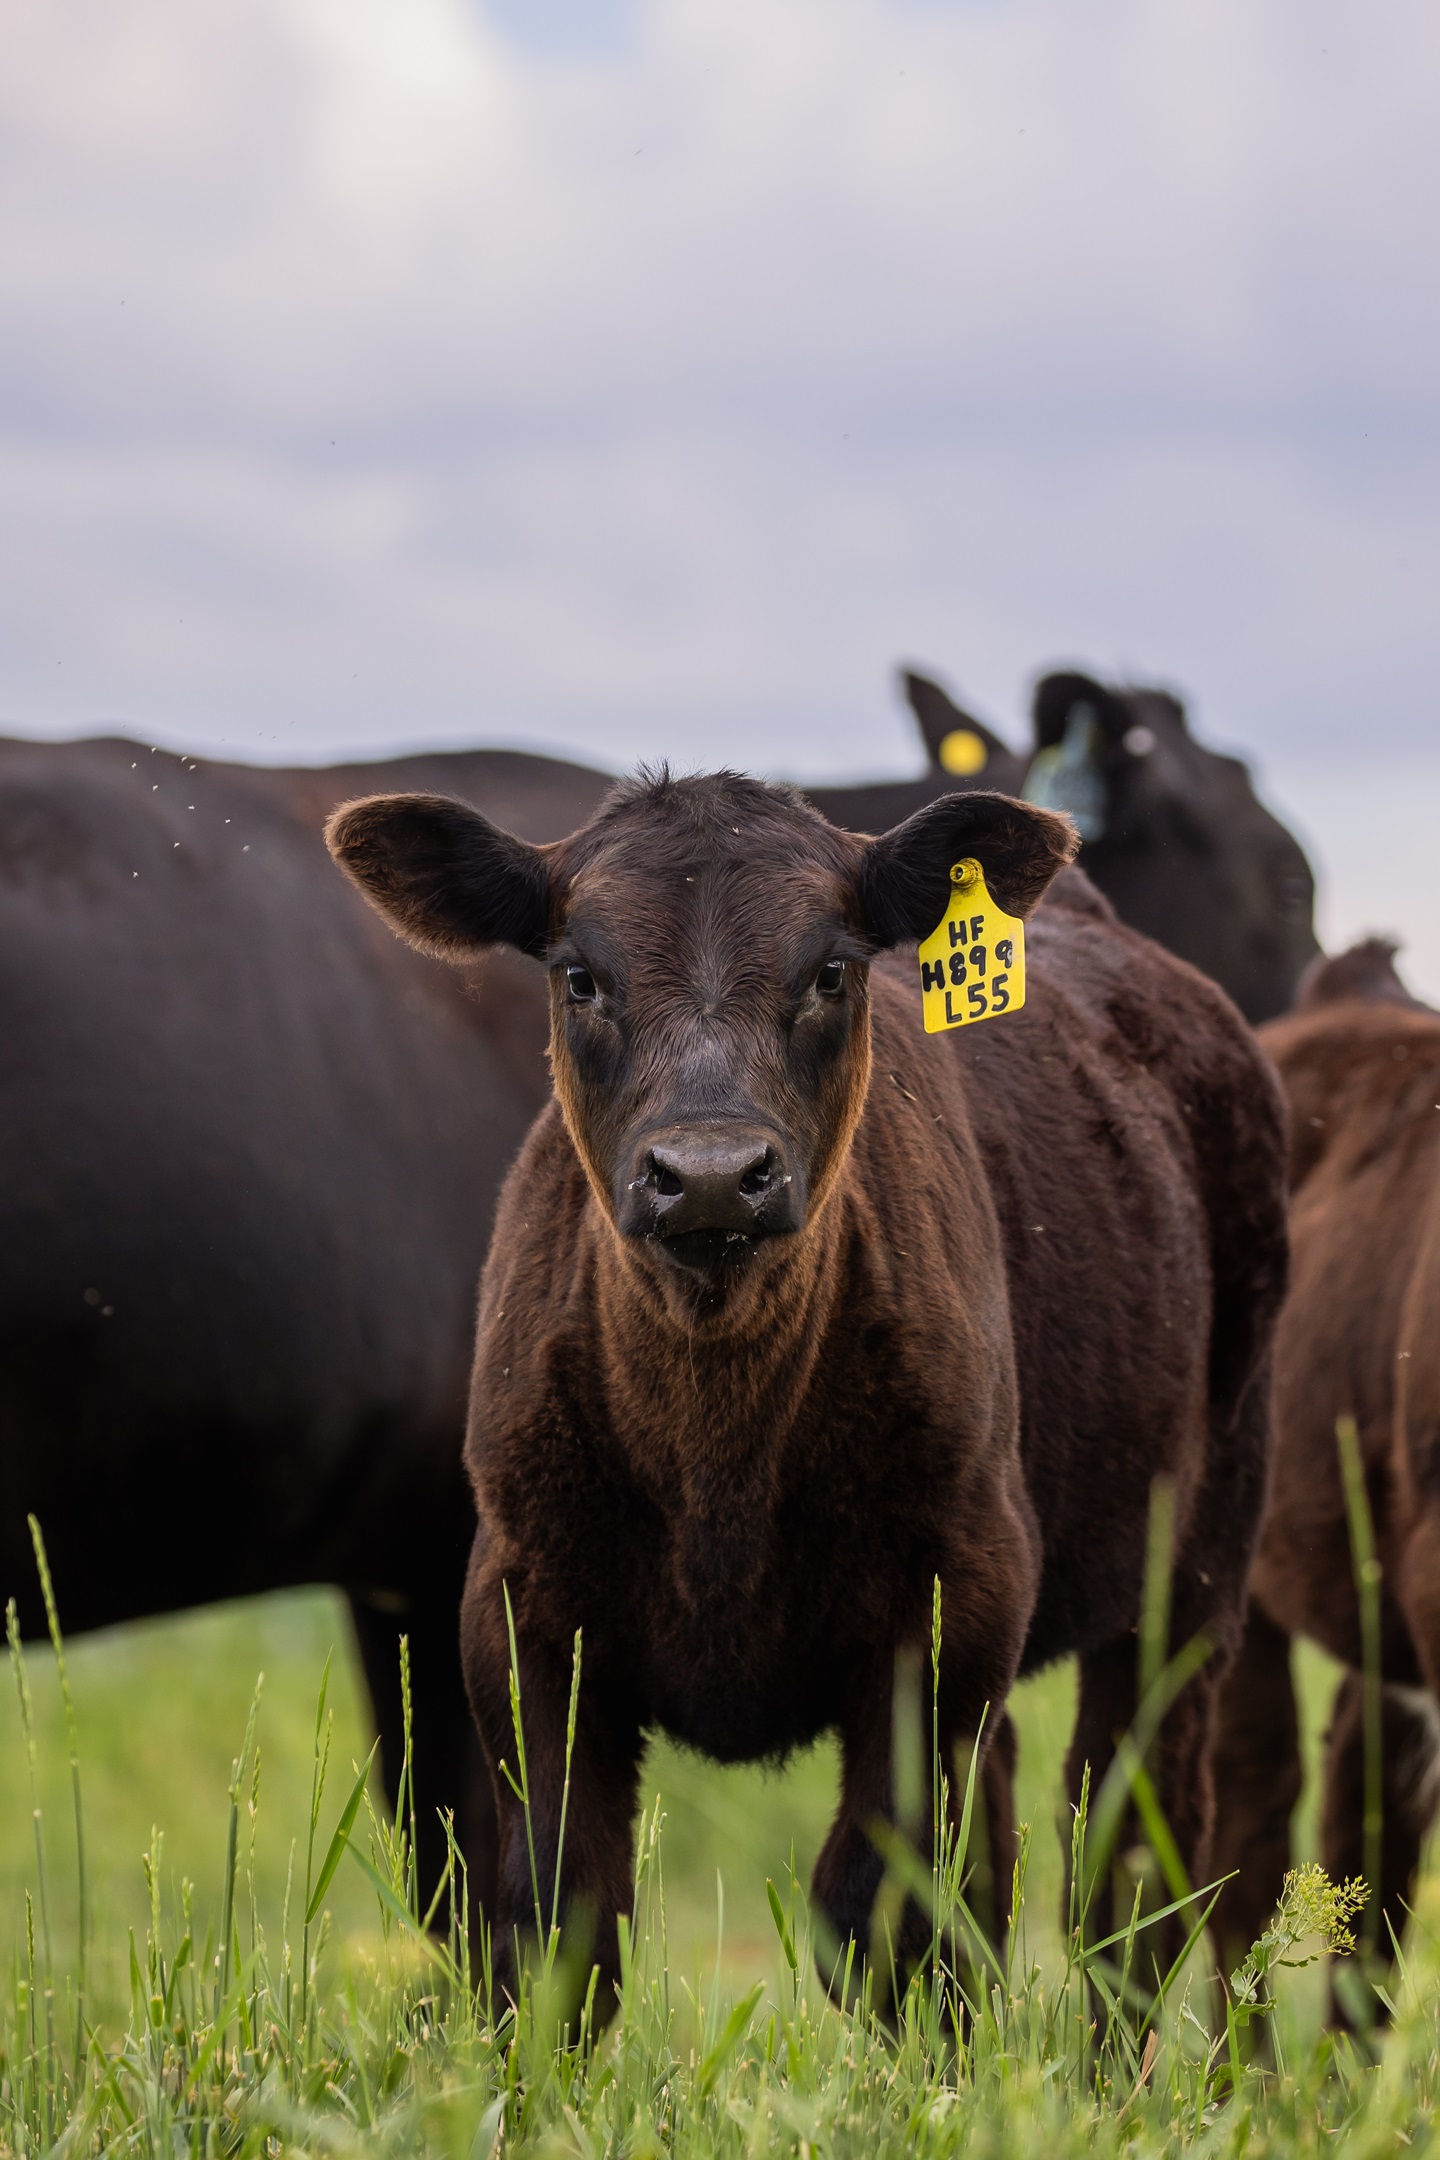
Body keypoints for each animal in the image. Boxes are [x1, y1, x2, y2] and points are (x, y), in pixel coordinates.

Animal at [327, 769, 1289, 1989]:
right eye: (579, 976)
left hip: (1195, 1567)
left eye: (831, 970)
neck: (717, 1465)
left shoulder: (956, 1599)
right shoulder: (519, 1612)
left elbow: (887, 1906)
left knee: (1129, 1862)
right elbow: (555, 1914)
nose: (708, 1176)